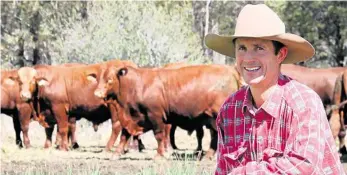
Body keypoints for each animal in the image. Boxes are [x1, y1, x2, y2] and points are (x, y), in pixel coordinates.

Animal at [17, 59, 145, 152]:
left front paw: (64, 147)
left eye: (33, 81)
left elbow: (63, 128)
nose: (24, 95)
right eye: (20, 82)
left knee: (117, 126)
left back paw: (109, 148)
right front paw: (51, 146)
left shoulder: (59, 108)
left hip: (114, 108)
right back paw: (126, 148)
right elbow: (51, 130)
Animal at [94, 63, 243, 159]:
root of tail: (231, 70)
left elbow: (159, 136)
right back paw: (209, 156)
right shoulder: (133, 118)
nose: (97, 93)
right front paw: (116, 153)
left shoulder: (155, 115)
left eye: (110, 79)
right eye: (100, 78)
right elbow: (124, 135)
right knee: (215, 136)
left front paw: (160, 155)